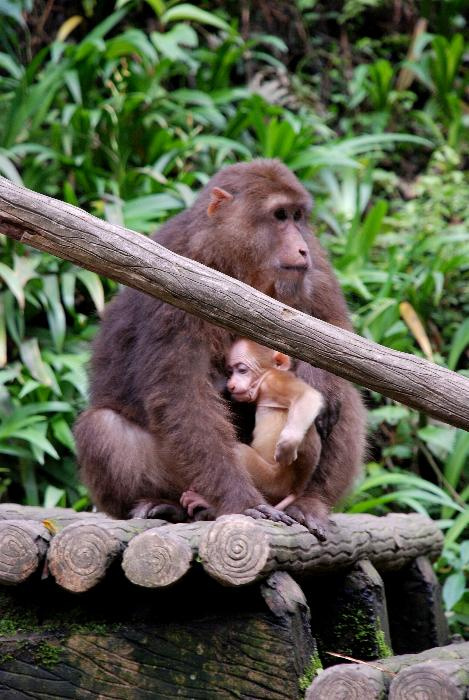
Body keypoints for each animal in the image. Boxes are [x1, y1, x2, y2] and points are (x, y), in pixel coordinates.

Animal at [181, 342, 324, 532]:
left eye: (242, 370)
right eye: (230, 372)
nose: (231, 385)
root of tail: (294, 490)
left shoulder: (274, 381)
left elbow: (308, 396)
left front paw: (288, 444)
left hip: (272, 482)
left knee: (239, 452)